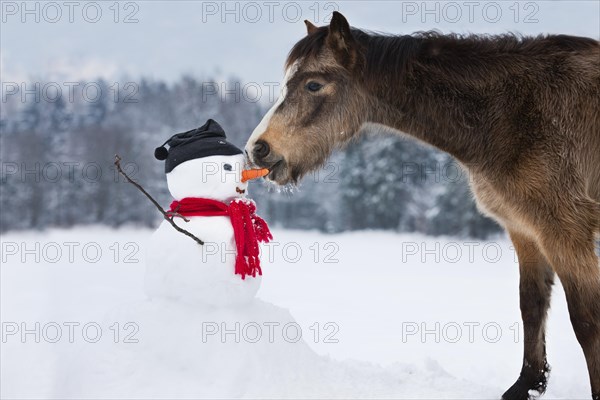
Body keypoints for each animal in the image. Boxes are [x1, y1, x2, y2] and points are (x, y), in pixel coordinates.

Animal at [244, 10, 600, 398]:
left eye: (313, 85)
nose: (258, 149)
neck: (512, 115)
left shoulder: (565, 232)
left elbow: (586, 321)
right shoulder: (524, 230)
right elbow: (531, 305)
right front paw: (528, 384)